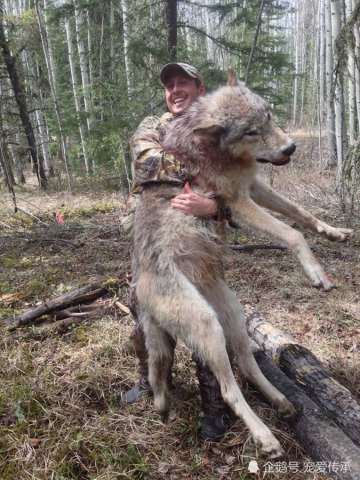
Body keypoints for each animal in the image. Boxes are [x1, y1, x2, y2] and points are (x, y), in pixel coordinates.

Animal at [132, 72, 352, 458]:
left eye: (269, 117)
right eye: (250, 131)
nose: (291, 148)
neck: (215, 151)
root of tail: (141, 290)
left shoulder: (255, 186)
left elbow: (300, 214)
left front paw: (334, 232)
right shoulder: (237, 202)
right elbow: (292, 234)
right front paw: (316, 273)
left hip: (232, 318)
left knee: (246, 367)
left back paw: (280, 401)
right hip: (207, 328)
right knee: (228, 388)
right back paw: (265, 437)